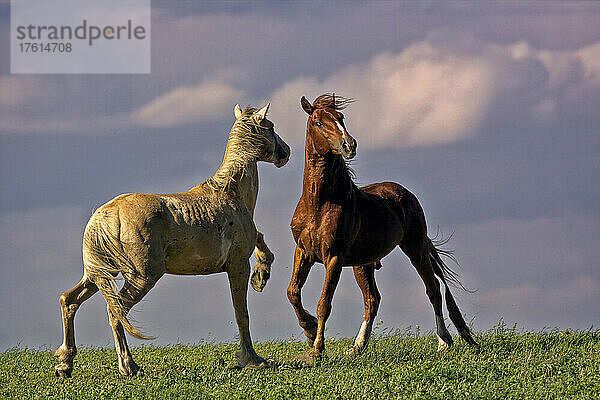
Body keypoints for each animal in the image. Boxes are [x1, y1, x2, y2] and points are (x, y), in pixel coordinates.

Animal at [52, 104, 292, 378]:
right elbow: (242, 313)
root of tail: (103, 217)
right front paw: (252, 359)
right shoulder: (238, 265)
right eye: (271, 127)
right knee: (115, 311)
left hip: (98, 274)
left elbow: (262, 242)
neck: (230, 194)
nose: (286, 153)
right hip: (142, 277)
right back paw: (129, 366)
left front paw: (262, 276)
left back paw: (65, 364)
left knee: (69, 301)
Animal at [288, 93, 478, 360]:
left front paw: (316, 349)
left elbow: (324, 303)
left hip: (415, 248)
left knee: (433, 289)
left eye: (341, 117)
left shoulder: (333, 257)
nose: (349, 145)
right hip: (363, 264)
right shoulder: (303, 252)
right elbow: (293, 293)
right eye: (318, 122)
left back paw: (444, 341)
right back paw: (357, 347)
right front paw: (309, 329)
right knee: (372, 300)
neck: (320, 203)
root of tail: (405, 193)